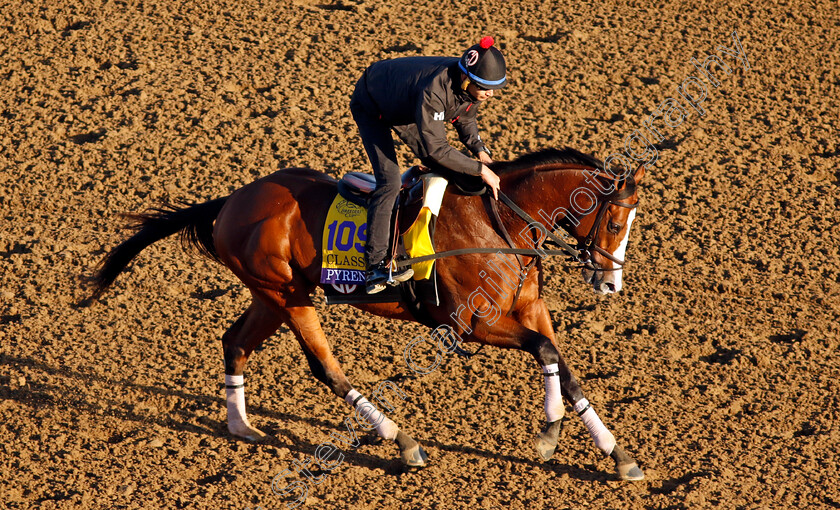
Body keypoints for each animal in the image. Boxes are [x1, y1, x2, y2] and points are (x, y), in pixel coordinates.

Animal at [87, 146, 644, 478]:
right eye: (615, 220)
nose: (610, 283)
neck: (499, 222)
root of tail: (231, 202)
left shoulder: (530, 308)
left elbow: (564, 368)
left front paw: (617, 454)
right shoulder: (469, 324)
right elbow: (547, 352)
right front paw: (549, 434)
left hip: (271, 294)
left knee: (235, 342)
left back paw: (241, 426)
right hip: (287, 295)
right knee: (325, 368)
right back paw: (401, 441)